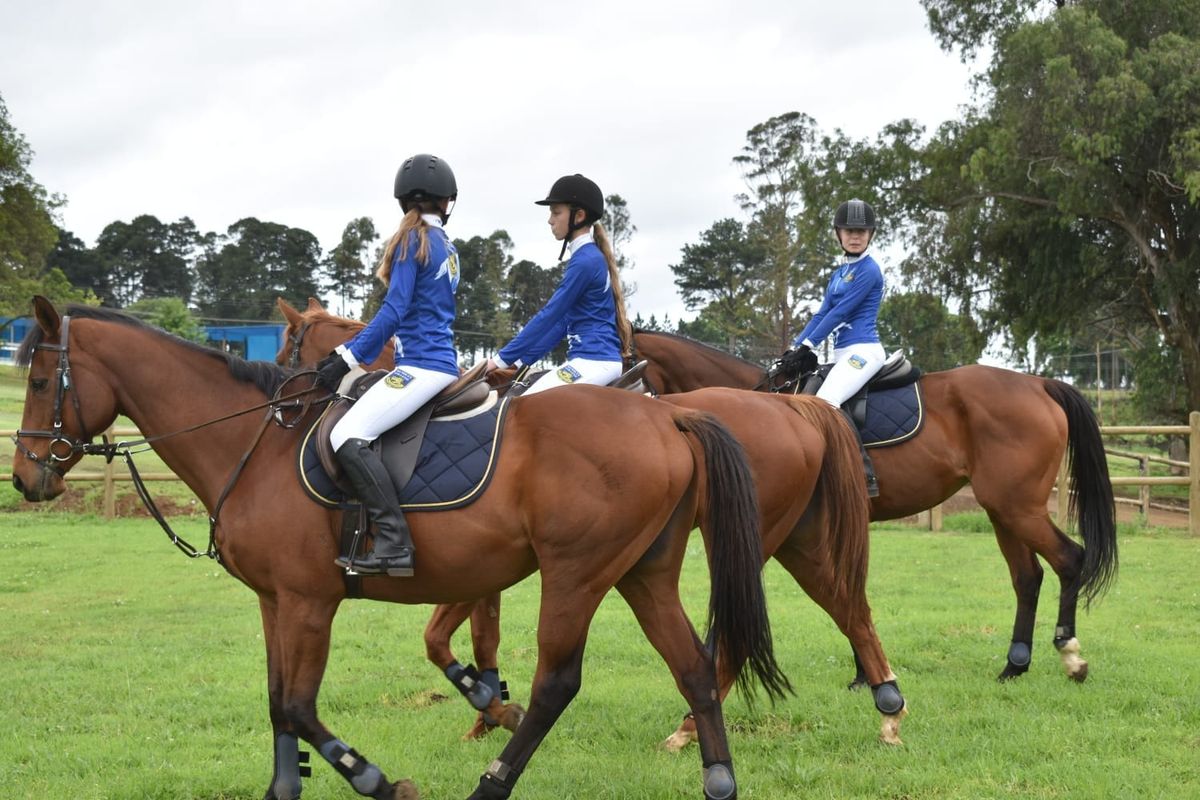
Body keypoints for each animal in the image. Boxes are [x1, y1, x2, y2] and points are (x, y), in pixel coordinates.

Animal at [16, 298, 796, 800]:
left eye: (38, 380)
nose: (26, 478)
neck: (253, 446)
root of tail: (666, 417)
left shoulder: (310, 602)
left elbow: (299, 704)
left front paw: (380, 780)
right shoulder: (275, 602)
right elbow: (277, 704)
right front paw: (286, 786)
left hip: (577, 573)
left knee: (557, 682)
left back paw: (492, 782)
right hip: (642, 571)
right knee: (692, 667)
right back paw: (718, 779)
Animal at [274, 296, 907, 753]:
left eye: (287, 352)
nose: (283, 406)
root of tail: (796, 408)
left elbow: (441, 637)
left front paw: (491, 709)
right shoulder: (484, 565)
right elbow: (478, 634)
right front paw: (489, 710)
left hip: (755, 542)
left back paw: (694, 726)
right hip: (795, 538)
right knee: (847, 603)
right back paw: (886, 706)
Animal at [633, 328, 1118, 686]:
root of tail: (1040, 383)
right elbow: (848, 589)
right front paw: (864, 673)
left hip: (1018, 508)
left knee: (1069, 560)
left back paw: (1071, 656)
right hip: (1003, 510)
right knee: (1027, 576)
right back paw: (1014, 665)